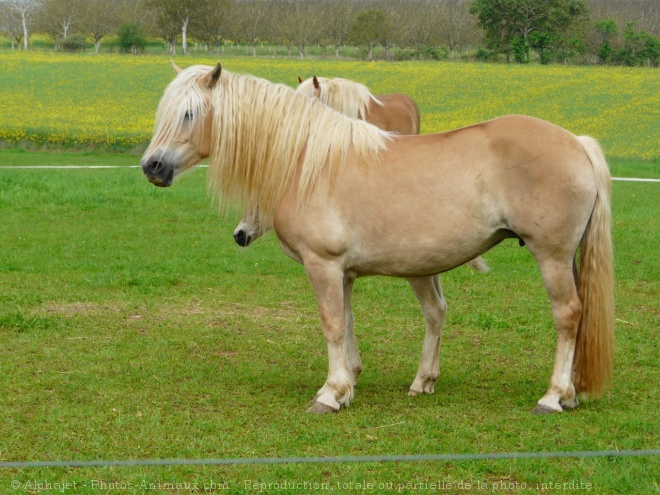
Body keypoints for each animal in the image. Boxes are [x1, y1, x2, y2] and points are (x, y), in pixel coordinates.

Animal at [142, 63, 616, 418]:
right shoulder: (345, 272)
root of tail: (577, 142)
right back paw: (565, 393)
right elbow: (348, 323)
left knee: (568, 315)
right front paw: (349, 382)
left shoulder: (323, 265)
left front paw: (330, 393)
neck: (308, 158)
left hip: (552, 257)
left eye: (188, 113)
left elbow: (332, 325)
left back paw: (552, 397)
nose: (152, 166)